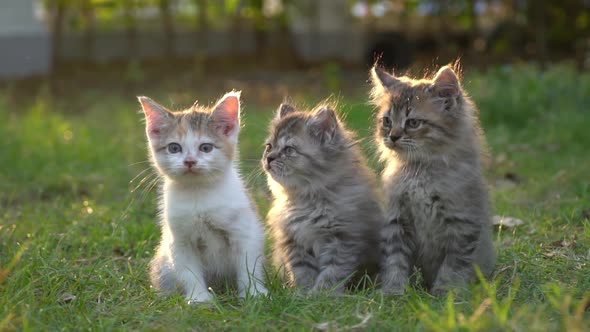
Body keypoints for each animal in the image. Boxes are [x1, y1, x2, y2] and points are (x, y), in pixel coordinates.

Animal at [139, 91, 268, 304]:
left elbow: (248, 264)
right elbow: (189, 271)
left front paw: (253, 293)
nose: (190, 161)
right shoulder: (180, 239)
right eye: (174, 148)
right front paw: (199, 298)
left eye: (206, 148)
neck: (198, 194)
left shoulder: (244, 231)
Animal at [264, 102, 384, 294]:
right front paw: (303, 293)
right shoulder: (294, 242)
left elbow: (332, 271)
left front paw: (321, 293)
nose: (268, 158)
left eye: (289, 150)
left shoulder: (343, 238)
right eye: (269, 147)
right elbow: (302, 271)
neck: (307, 199)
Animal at [372, 65, 498, 296]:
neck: (420, 172)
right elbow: (395, 260)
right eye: (387, 121)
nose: (393, 136)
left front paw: (446, 291)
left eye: (413, 123)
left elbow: (454, 264)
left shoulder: (463, 222)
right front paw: (393, 291)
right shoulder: (396, 219)